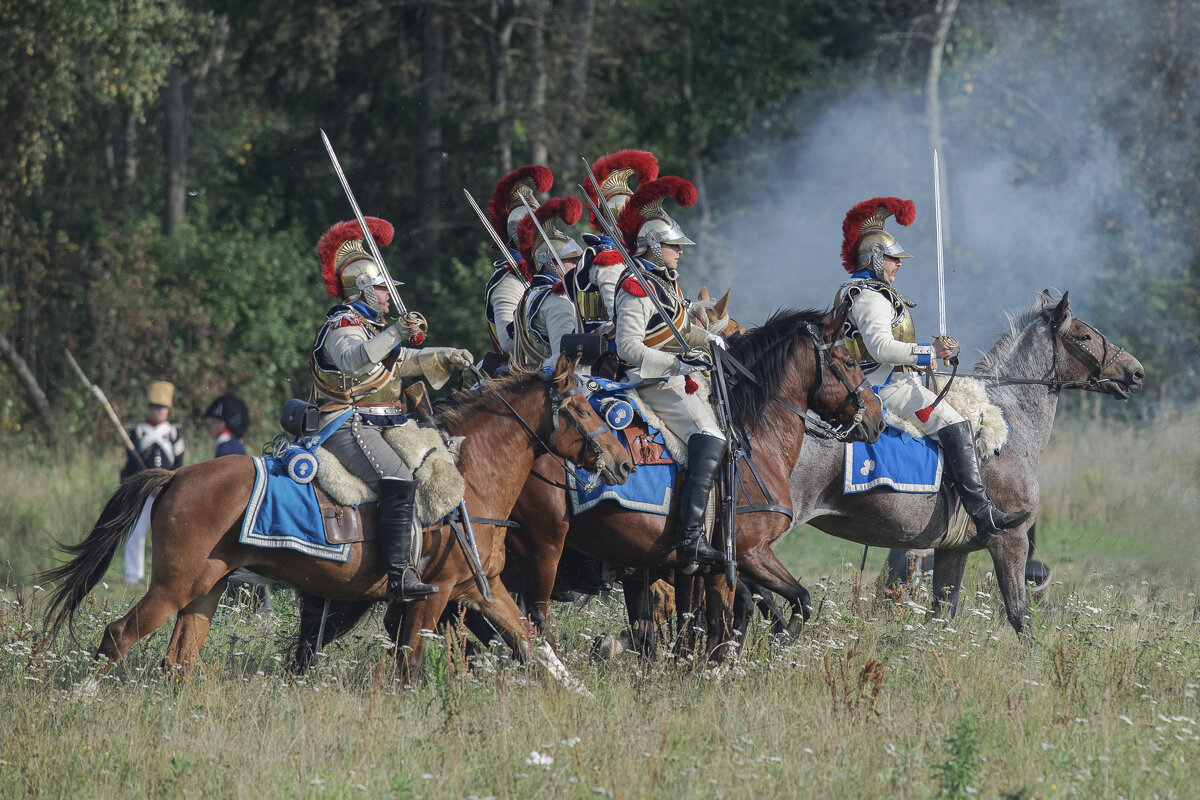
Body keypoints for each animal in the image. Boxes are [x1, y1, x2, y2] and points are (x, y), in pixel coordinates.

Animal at [42, 357, 633, 681]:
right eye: (582, 408)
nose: (623, 462)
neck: (471, 477)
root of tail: (177, 475)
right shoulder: (434, 596)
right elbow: (410, 667)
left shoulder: (480, 591)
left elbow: (537, 647)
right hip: (173, 586)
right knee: (118, 636)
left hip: (206, 590)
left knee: (179, 661)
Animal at [787, 291, 1142, 633]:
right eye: (1084, 336)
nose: (1136, 372)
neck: (1008, 422)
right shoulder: (1010, 541)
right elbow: (1020, 615)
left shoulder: (952, 550)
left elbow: (939, 619)